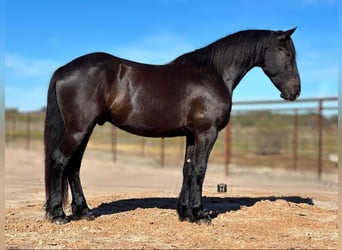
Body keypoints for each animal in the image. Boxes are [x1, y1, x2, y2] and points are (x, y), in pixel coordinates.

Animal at [44, 28, 300, 226]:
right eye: (287, 53)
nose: (295, 92)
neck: (213, 73)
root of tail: (63, 70)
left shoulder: (192, 135)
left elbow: (188, 169)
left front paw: (185, 212)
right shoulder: (207, 133)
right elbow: (200, 170)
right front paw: (199, 214)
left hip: (84, 130)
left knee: (73, 167)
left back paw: (84, 212)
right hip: (78, 129)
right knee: (59, 161)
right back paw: (58, 214)